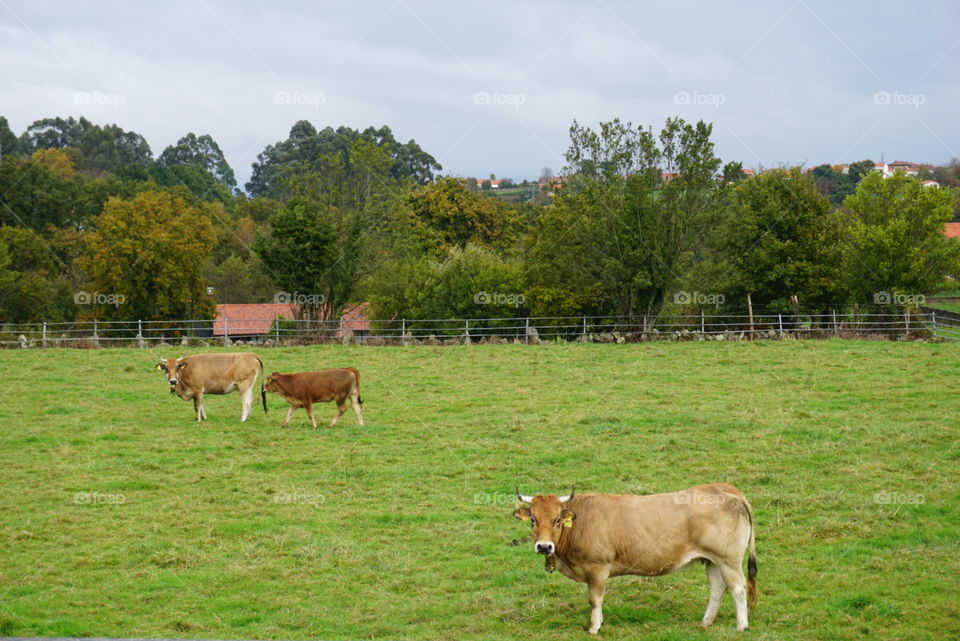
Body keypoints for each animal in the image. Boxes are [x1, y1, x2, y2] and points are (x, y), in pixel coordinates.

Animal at [512, 483, 757, 633]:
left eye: (557, 520)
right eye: (533, 519)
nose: (544, 546)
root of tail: (723, 487)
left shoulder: (597, 567)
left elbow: (595, 599)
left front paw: (594, 627)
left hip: (728, 560)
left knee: (738, 588)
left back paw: (742, 626)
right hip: (713, 561)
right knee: (717, 589)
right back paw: (706, 622)